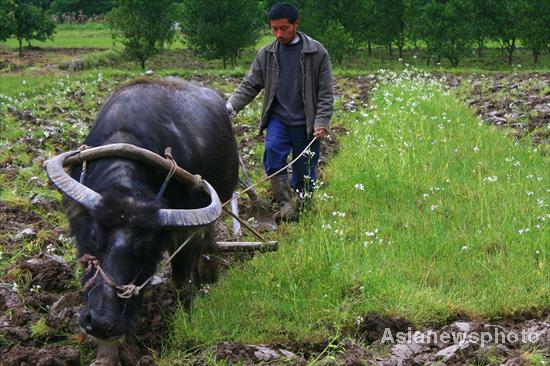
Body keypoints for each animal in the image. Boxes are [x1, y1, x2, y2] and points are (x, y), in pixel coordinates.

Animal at [45, 78, 239, 344]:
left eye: (144, 249)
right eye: (94, 236)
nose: (101, 323)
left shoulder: (184, 233)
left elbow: (181, 278)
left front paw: (186, 316)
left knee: (206, 245)